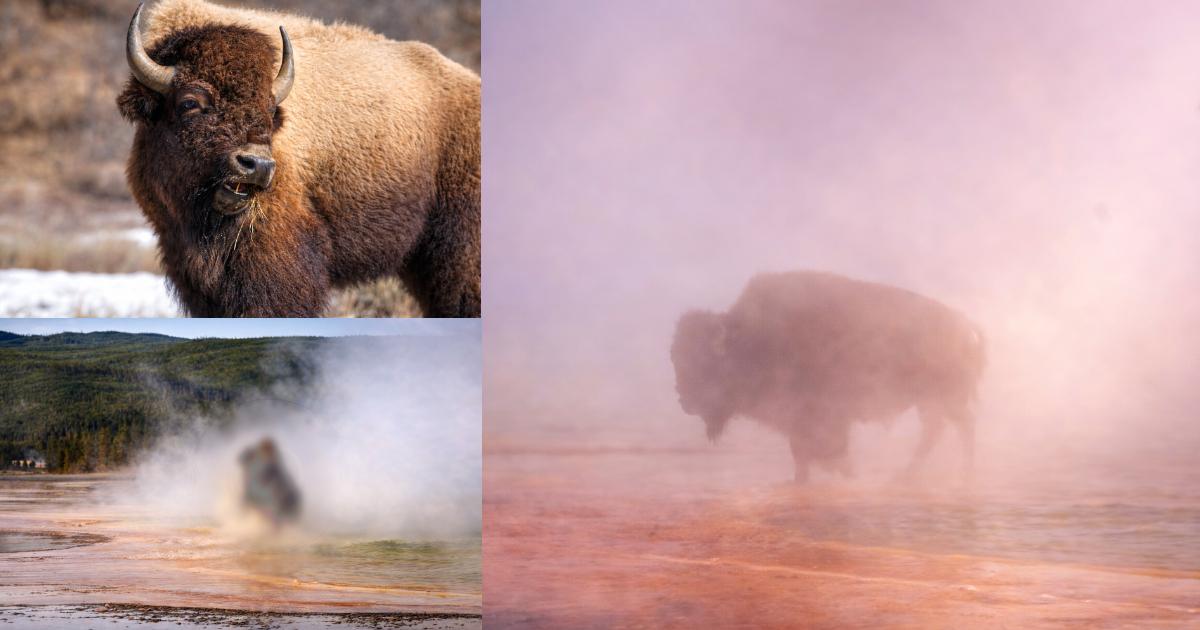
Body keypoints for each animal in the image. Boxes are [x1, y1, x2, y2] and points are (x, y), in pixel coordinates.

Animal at [671, 271, 985, 482]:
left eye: (704, 363)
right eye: (676, 359)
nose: (684, 402)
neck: (749, 339)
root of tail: (963, 323)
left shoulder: (816, 413)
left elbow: (814, 447)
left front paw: (838, 471)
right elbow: (801, 450)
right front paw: (808, 476)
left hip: (945, 399)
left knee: (962, 427)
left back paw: (962, 471)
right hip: (930, 402)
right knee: (937, 430)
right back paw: (910, 473)